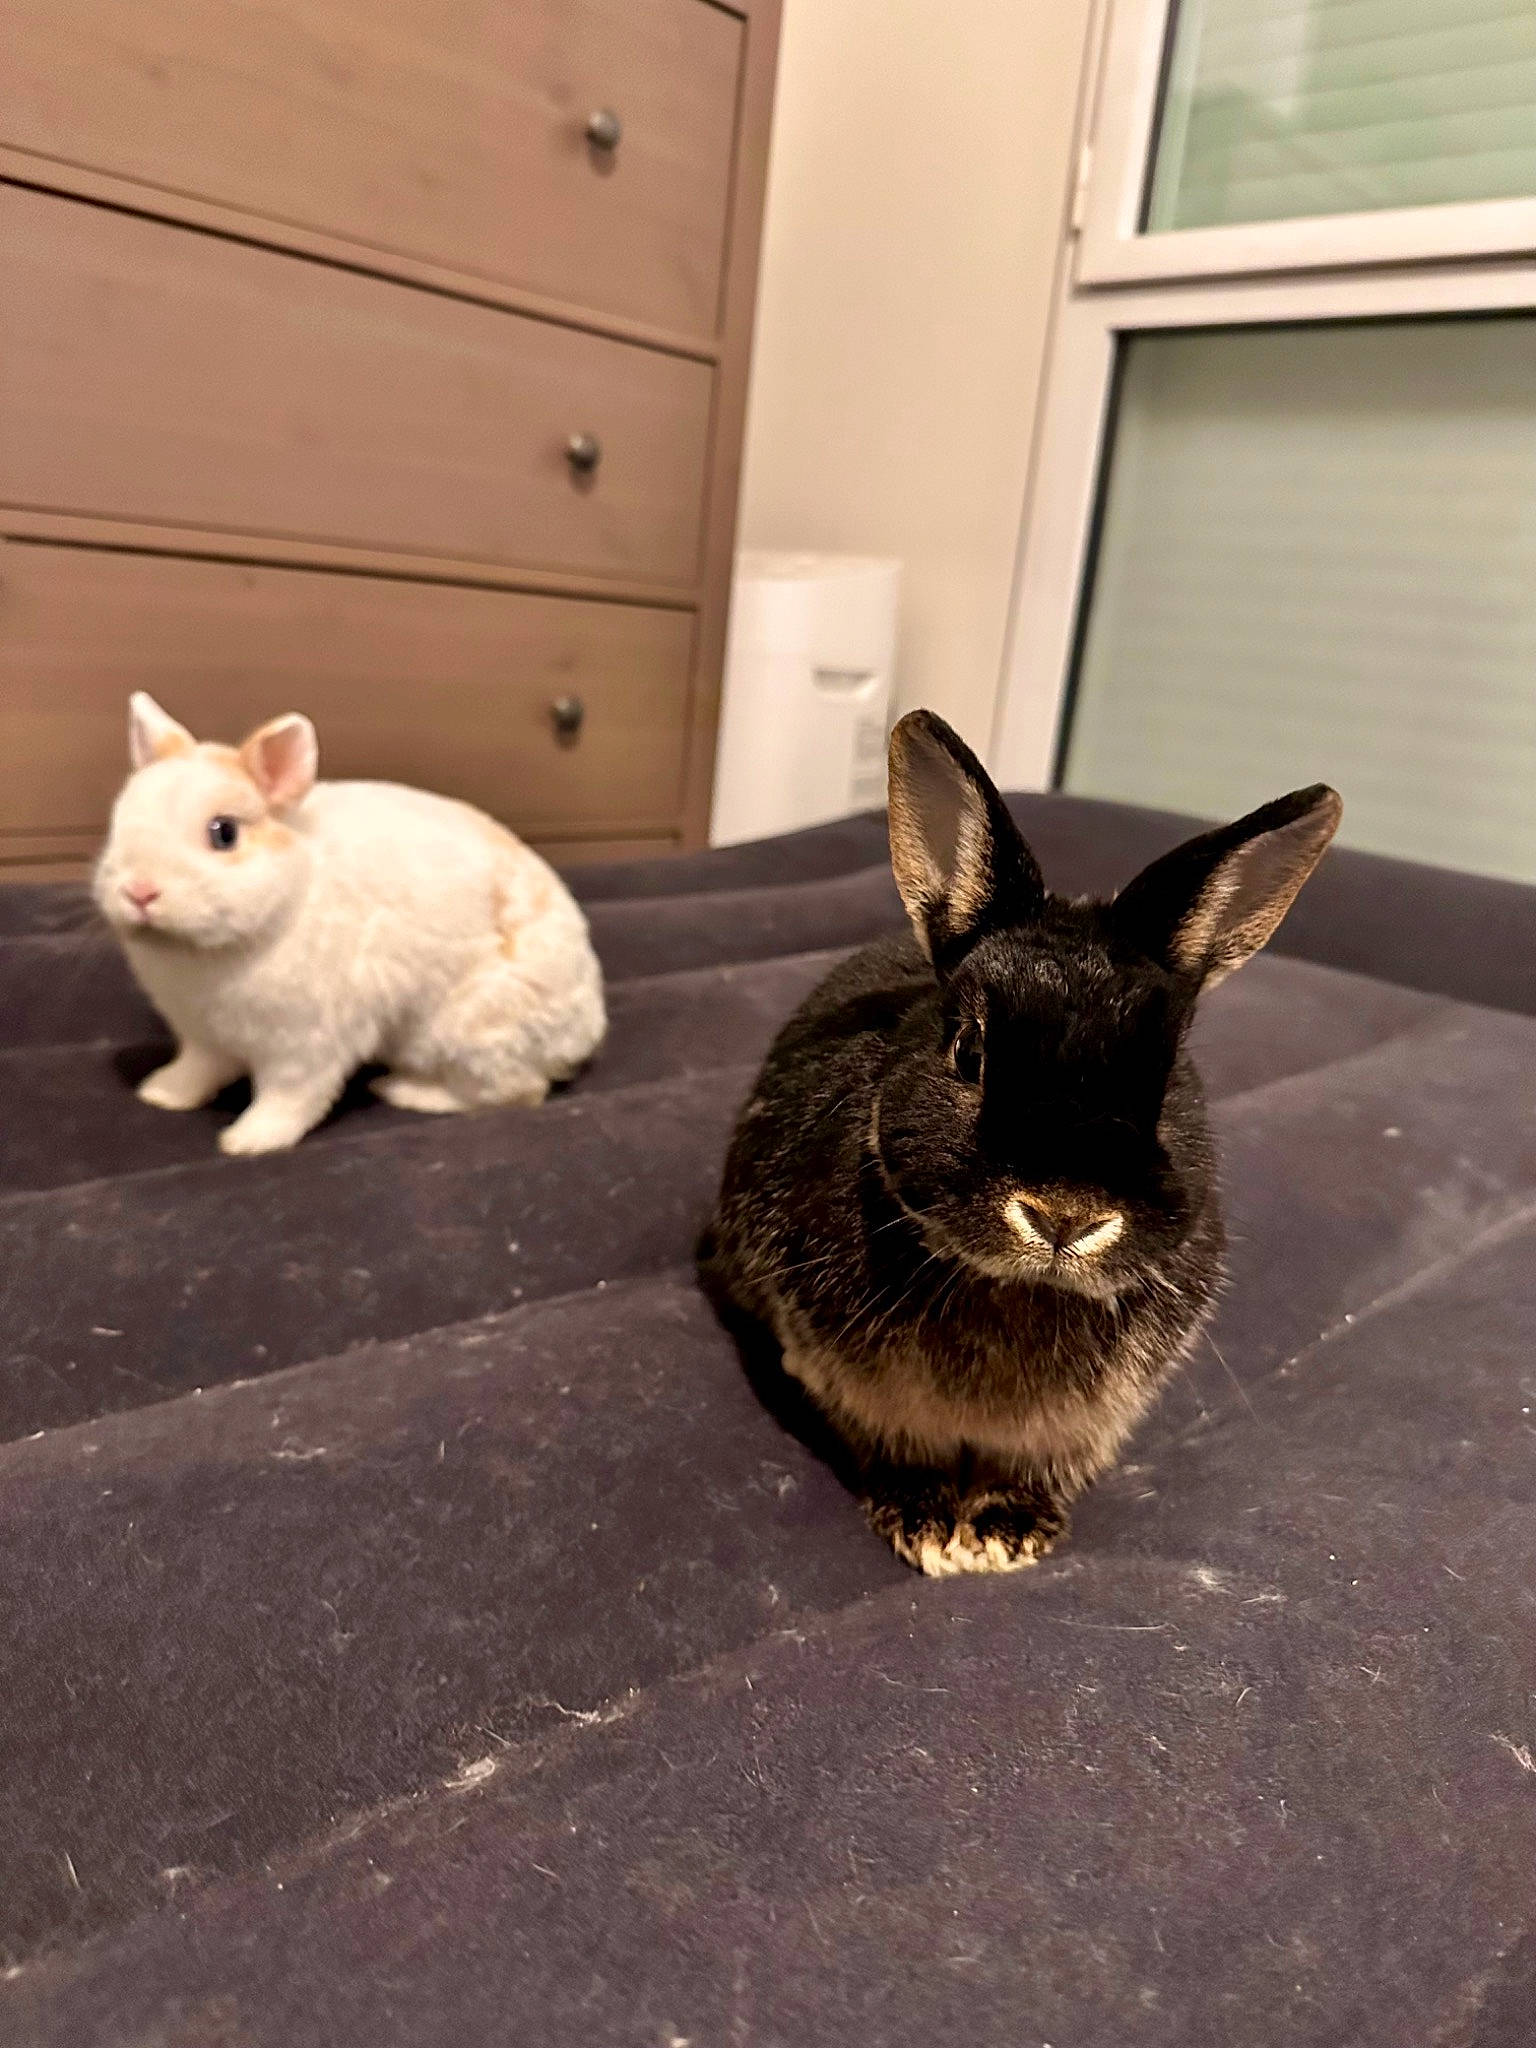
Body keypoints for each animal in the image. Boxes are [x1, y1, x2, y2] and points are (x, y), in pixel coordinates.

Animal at [94, 692, 606, 1155]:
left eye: (224, 833)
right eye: (119, 822)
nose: (139, 891)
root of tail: (586, 1029)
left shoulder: (304, 1047)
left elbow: (289, 1099)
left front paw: (248, 1140)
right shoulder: (203, 1038)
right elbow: (197, 1070)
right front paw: (161, 1093)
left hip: (475, 1035)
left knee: (514, 1093)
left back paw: (405, 1090)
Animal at [703, 710, 1341, 1577]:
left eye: (1169, 1076)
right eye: (968, 1051)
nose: (1065, 1215)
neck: (1017, 1287)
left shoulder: (1079, 1425)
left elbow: (1030, 1467)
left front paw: (1008, 1532)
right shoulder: (857, 1389)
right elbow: (902, 1451)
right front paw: (926, 1526)